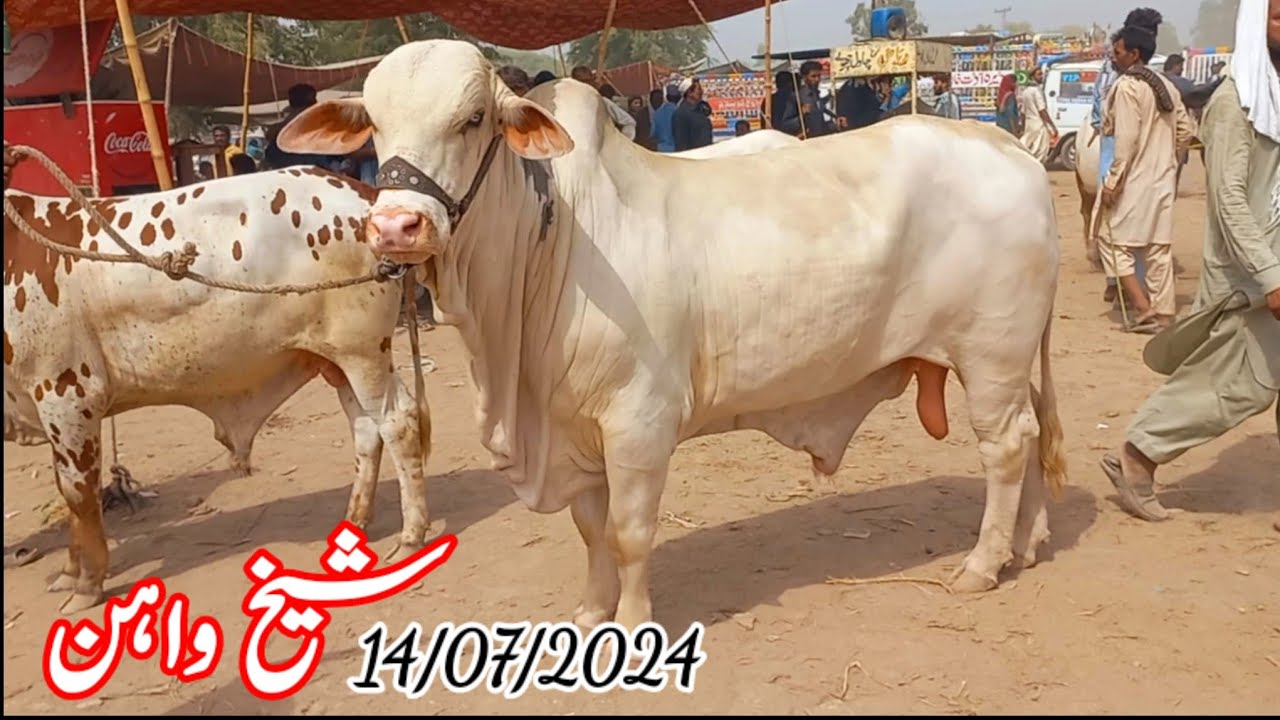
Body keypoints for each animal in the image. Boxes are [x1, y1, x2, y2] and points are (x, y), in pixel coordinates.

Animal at [3, 156, 431, 614]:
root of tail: (365, 196)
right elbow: (66, 490)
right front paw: (69, 573)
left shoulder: (67, 394)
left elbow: (78, 492)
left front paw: (86, 584)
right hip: (338, 360)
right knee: (367, 431)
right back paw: (355, 521)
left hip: (363, 353)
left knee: (398, 425)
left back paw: (411, 536)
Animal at [279, 40, 1067, 632]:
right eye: (375, 123)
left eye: (473, 118)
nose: (396, 226)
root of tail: (1016, 154)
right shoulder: (575, 431)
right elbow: (591, 532)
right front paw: (590, 613)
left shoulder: (638, 424)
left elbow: (628, 533)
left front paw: (631, 625)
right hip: (1006, 361)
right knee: (1031, 431)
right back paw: (1028, 544)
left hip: (988, 356)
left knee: (1005, 447)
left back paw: (981, 565)